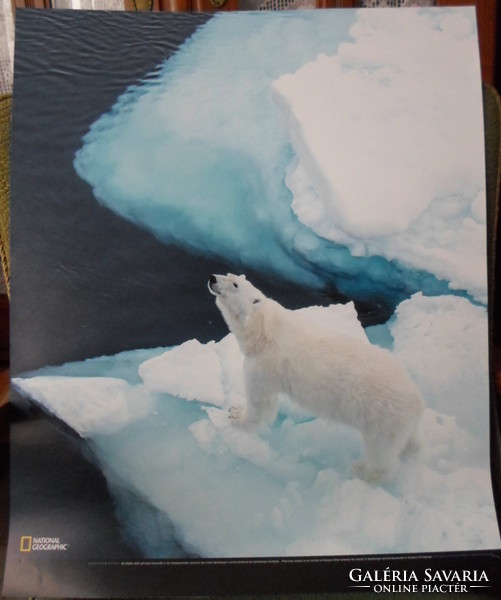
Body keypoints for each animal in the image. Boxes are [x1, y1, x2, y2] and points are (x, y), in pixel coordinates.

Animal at [206, 274, 422, 480]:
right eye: (229, 273)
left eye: (235, 284)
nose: (212, 278)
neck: (263, 328)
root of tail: (416, 399)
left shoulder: (265, 365)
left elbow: (261, 402)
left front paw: (236, 415)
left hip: (382, 417)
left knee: (380, 453)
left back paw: (362, 470)